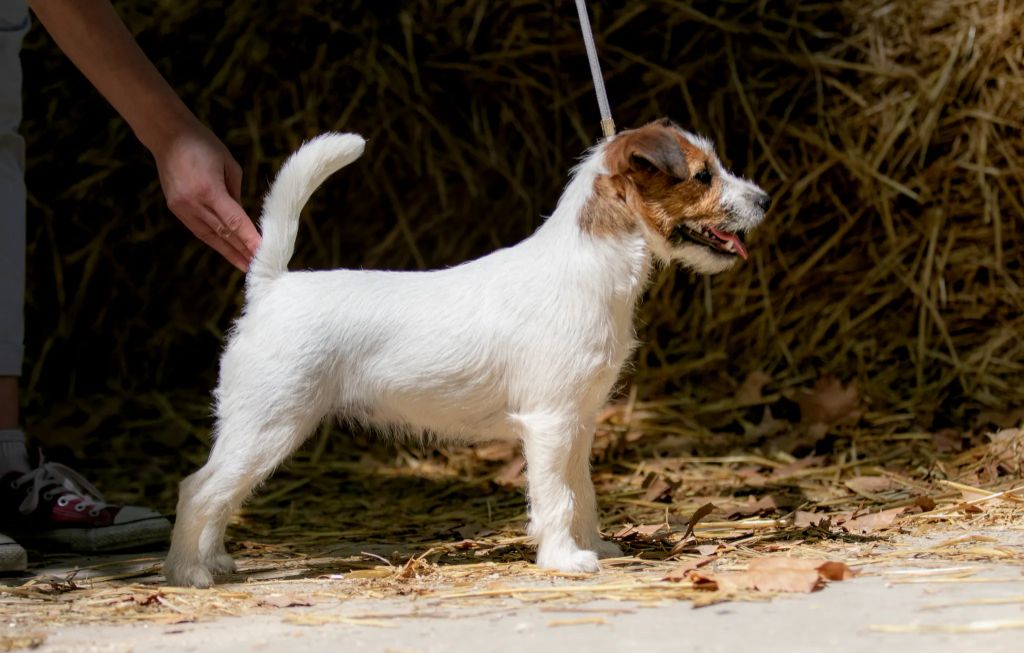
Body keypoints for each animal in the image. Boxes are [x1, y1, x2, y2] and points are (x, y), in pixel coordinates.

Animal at [163, 120, 770, 589]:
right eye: (703, 176)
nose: (765, 199)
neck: (590, 263)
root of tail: (272, 286)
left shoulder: (578, 424)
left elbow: (583, 492)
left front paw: (594, 547)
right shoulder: (549, 423)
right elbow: (556, 498)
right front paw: (562, 559)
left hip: (259, 429)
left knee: (222, 494)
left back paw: (215, 561)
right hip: (270, 424)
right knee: (199, 489)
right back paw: (187, 574)